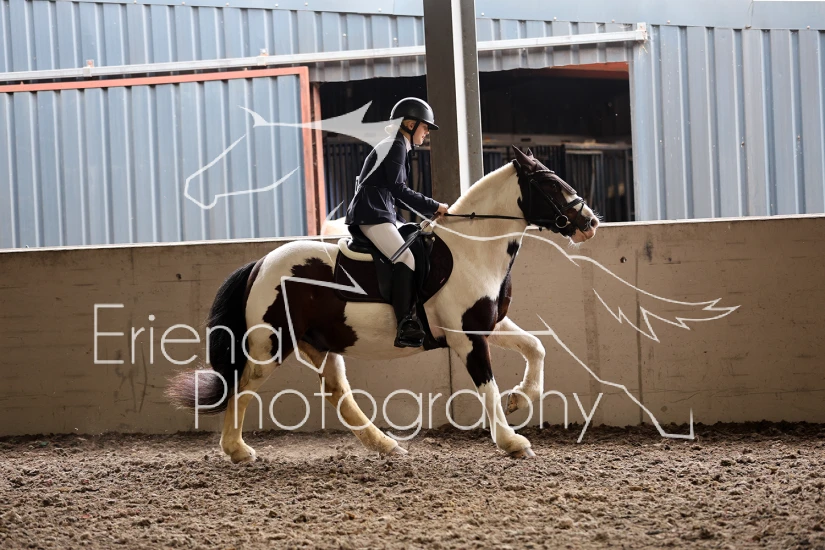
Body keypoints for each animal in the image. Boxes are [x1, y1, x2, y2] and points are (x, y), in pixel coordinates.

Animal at [167, 146, 599, 462]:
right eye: (550, 183)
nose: (590, 223)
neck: (473, 249)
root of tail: (259, 265)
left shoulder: (486, 326)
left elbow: (536, 347)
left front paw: (519, 399)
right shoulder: (467, 338)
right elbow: (487, 386)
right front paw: (511, 441)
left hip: (319, 345)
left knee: (337, 394)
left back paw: (386, 445)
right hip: (270, 345)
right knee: (242, 386)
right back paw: (237, 450)